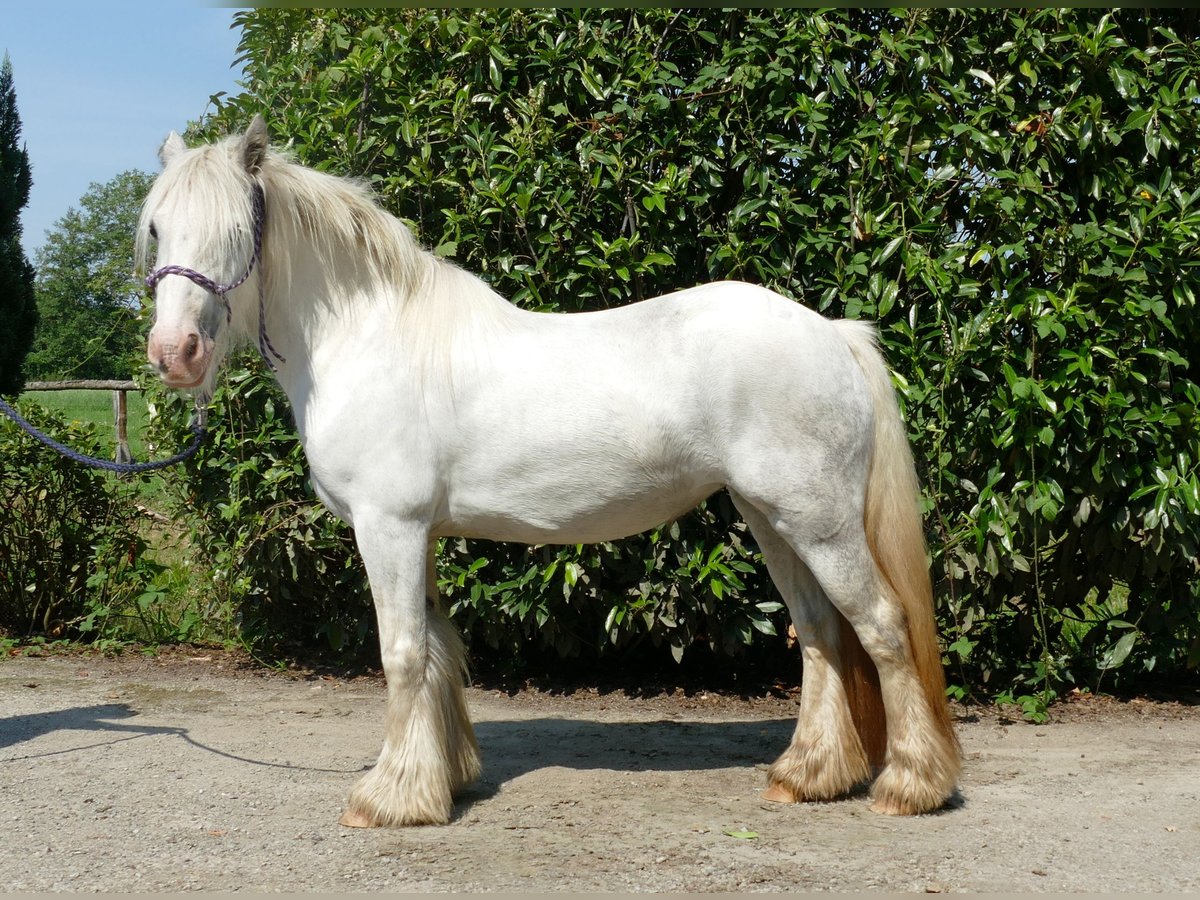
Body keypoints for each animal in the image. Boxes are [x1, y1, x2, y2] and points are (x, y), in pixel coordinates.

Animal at [140, 118, 960, 830]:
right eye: (157, 229)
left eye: (236, 230)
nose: (174, 353)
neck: (368, 337)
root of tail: (834, 334)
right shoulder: (420, 534)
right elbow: (438, 651)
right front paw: (446, 780)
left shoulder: (389, 528)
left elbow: (402, 654)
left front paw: (390, 799)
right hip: (773, 518)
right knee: (820, 631)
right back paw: (808, 775)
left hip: (818, 522)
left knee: (881, 625)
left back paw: (909, 786)